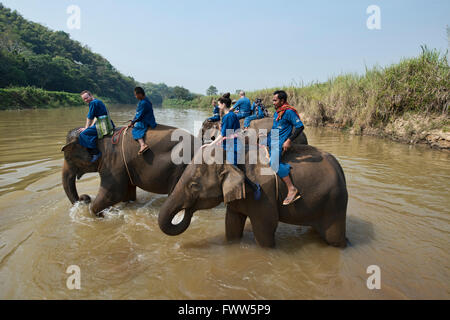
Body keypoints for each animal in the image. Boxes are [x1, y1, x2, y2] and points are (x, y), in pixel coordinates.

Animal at [62, 124, 199, 215]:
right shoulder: (125, 168)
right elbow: (127, 194)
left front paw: (96, 213)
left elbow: (113, 193)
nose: (84, 197)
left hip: (183, 166)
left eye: (67, 157)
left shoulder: (113, 163)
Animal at [158, 141, 348, 249]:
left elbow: (266, 228)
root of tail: (339, 168)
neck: (232, 159)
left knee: (334, 239)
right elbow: (232, 223)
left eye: (194, 185)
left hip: (335, 203)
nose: (186, 211)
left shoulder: (265, 194)